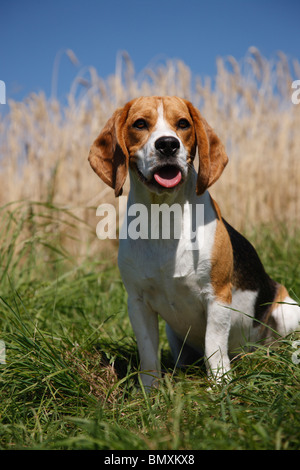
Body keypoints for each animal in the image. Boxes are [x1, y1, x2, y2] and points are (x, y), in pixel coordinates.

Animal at [88, 96, 298, 390]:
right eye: (139, 124)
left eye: (183, 124)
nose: (167, 144)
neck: (164, 216)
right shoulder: (137, 302)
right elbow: (148, 351)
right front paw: (149, 390)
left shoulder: (218, 296)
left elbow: (214, 345)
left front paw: (219, 385)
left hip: (288, 311)